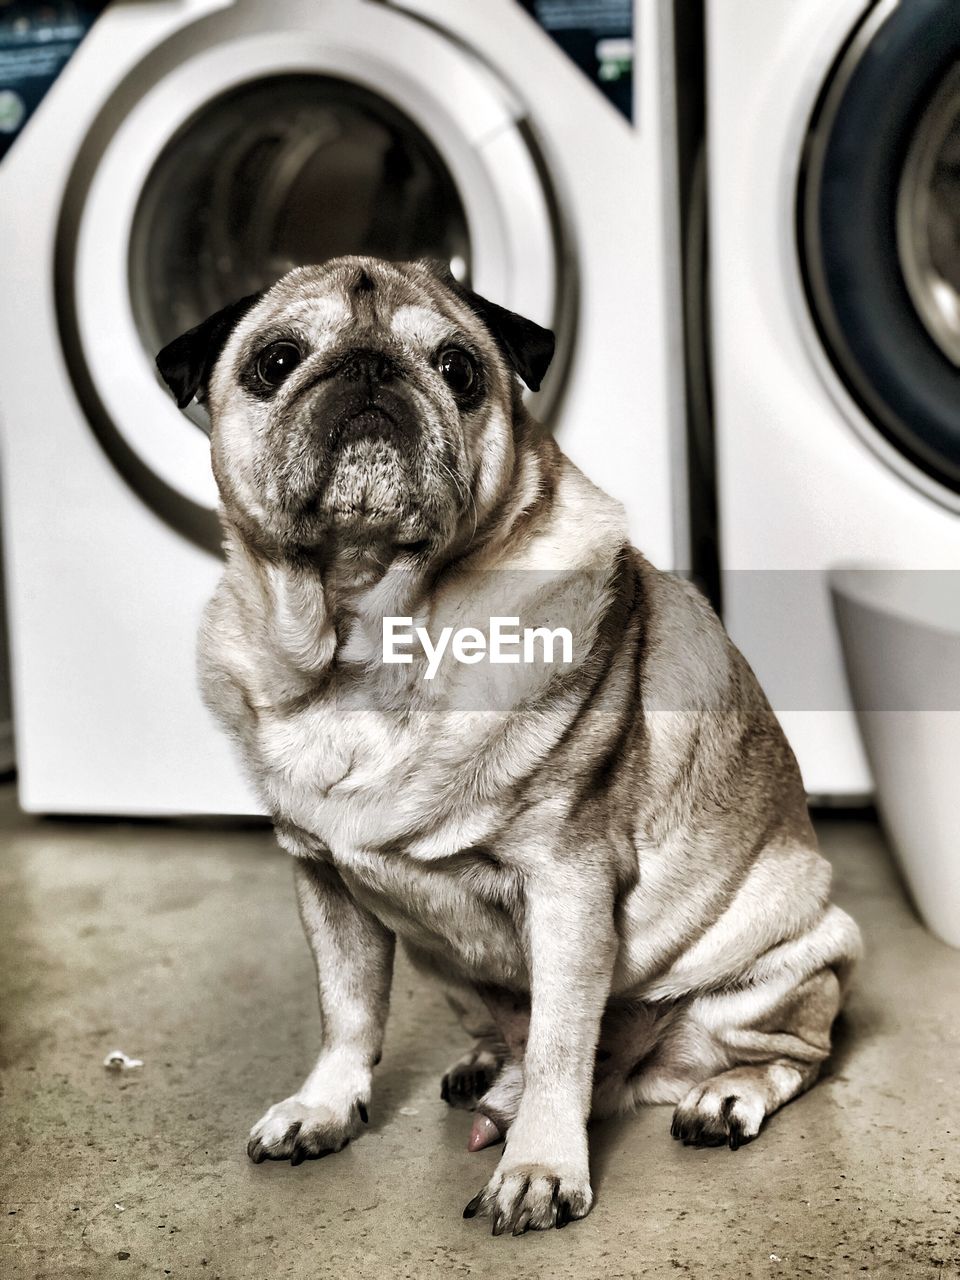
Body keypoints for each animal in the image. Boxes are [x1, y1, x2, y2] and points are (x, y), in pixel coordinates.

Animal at [158, 257, 865, 1228]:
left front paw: (540, 1168)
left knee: (792, 1055)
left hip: (782, 960)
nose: (371, 370)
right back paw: (490, 1068)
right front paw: (324, 1106)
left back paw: (723, 1097)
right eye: (276, 361)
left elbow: (564, 1043)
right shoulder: (322, 879)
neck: (370, 648)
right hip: (449, 968)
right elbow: (348, 1011)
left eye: (458, 369)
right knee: (513, 1035)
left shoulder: (567, 884)